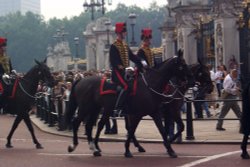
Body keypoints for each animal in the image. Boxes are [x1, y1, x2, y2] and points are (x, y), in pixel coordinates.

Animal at [65, 51, 194, 158]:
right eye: (182, 65)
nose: (191, 80)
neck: (150, 85)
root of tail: (81, 79)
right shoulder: (138, 114)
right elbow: (132, 130)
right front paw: (127, 151)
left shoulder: (154, 113)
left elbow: (161, 130)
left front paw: (170, 149)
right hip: (86, 108)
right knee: (76, 122)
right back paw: (73, 146)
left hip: (96, 109)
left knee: (90, 125)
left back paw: (95, 149)